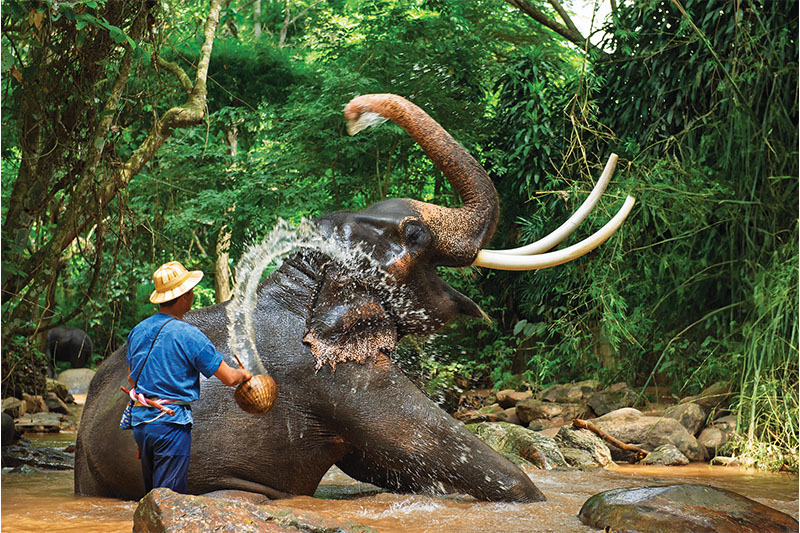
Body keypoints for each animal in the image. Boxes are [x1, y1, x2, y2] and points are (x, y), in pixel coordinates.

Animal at [75, 94, 633, 503]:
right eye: (414, 234)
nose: (354, 113)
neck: (305, 281)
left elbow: (388, 464)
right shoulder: (341, 381)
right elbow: (435, 447)